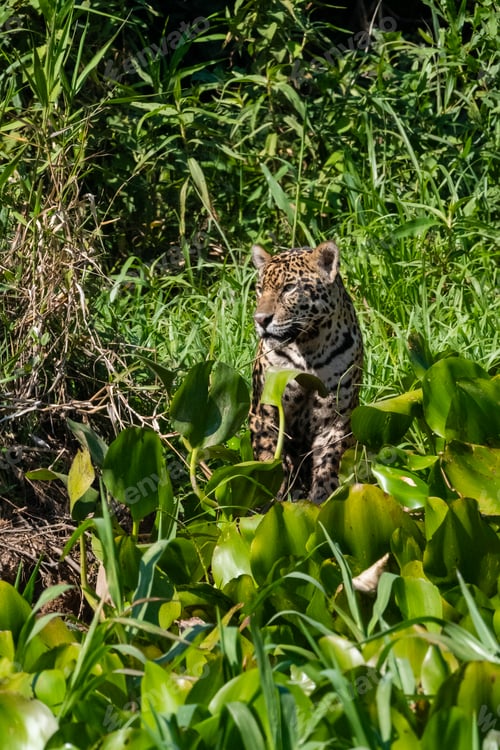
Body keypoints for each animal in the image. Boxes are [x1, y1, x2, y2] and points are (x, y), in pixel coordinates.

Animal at [249, 240, 363, 504]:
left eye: (289, 288)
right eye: (259, 290)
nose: (260, 319)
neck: (309, 346)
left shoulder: (336, 420)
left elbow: (329, 463)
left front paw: (321, 503)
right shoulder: (265, 413)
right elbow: (269, 458)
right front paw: (276, 502)